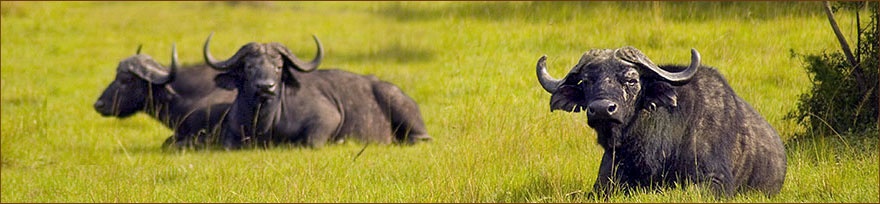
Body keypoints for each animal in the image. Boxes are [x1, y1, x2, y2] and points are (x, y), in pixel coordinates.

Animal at [200, 33, 434, 148]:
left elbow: (310, 141)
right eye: (249, 66)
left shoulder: (328, 118)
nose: (266, 87)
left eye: (278, 67)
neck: (263, 123)